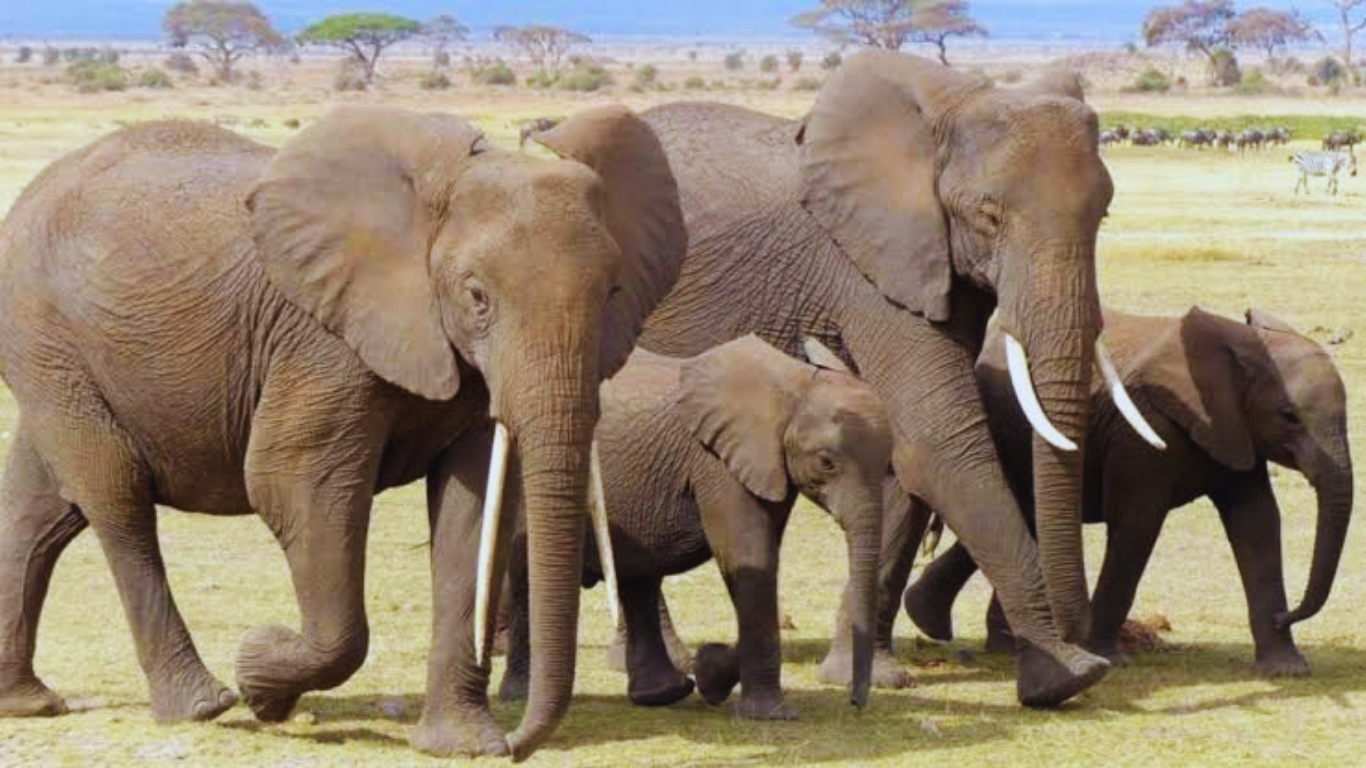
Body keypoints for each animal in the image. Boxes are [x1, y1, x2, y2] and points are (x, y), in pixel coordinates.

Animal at [0, 104, 686, 761]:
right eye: (477, 296)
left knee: (41, 510)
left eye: (614, 292)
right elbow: (291, 479)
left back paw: (28, 703)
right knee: (116, 499)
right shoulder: (321, 340)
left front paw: (463, 746)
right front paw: (260, 673)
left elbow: (470, 508)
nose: (518, 746)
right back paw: (204, 704)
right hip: (48, 338)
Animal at [498, 335, 889, 719]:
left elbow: (758, 559)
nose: (855, 704)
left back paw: (663, 693)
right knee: (529, 573)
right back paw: (518, 696)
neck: (794, 382)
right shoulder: (716, 460)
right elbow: (748, 555)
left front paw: (710, 672)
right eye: (826, 462)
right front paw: (770, 714)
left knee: (638, 577)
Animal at [622, 51, 1165, 707]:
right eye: (988, 215)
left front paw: (869, 675)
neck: (951, 107)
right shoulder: (865, 270)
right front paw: (1065, 678)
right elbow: (938, 440)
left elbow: (902, 454)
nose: (1084, 640)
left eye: (1103, 213)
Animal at [902, 307, 1353, 677]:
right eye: (1289, 416)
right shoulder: (1143, 431)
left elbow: (1257, 525)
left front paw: (1287, 670)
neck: (1239, 343)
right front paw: (1111, 659)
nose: (1286, 616)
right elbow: (1139, 523)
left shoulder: (1236, 433)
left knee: (1022, 517)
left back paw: (984, 638)